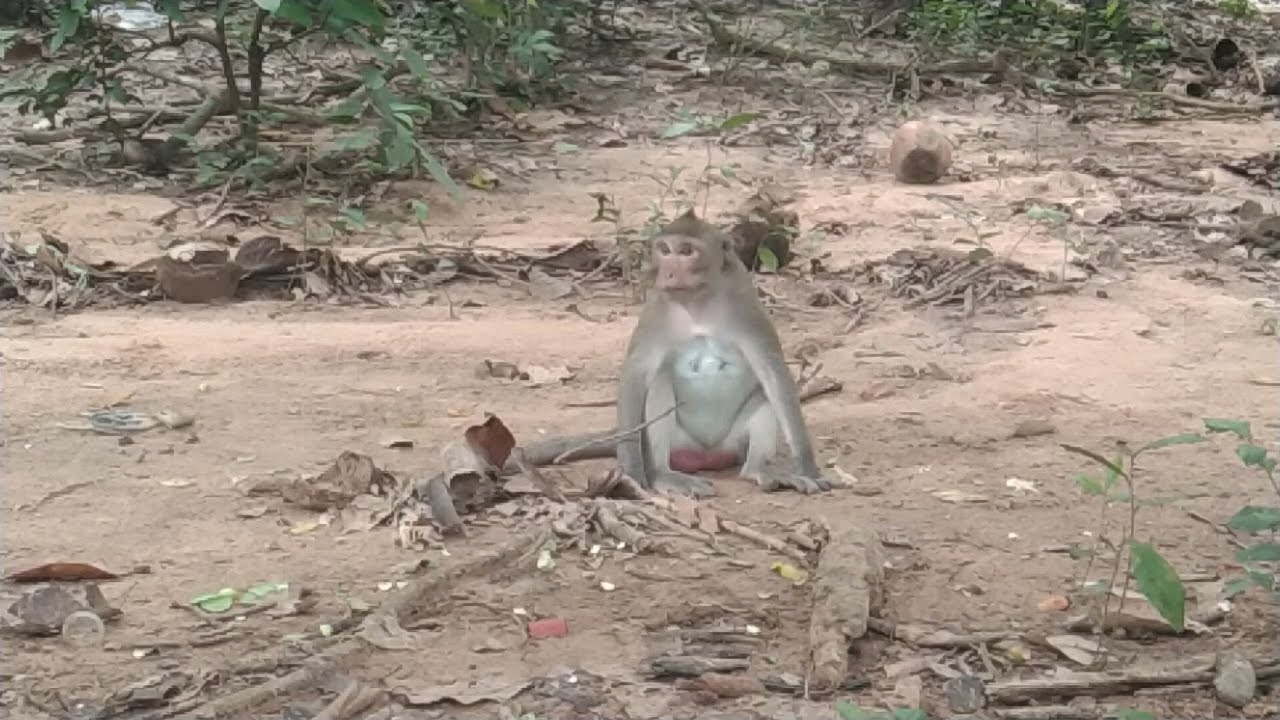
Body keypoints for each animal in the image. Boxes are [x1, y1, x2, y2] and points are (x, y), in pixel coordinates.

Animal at [613, 210, 832, 498]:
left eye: (686, 251)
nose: (667, 273)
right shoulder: (657, 308)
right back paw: (663, 474)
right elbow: (636, 373)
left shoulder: (746, 306)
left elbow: (773, 374)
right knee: (659, 384)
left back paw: (758, 470)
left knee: (763, 398)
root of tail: (707, 454)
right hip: (681, 443)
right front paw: (631, 470)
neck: (698, 301)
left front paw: (807, 467)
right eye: (665, 250)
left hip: (732, 443)